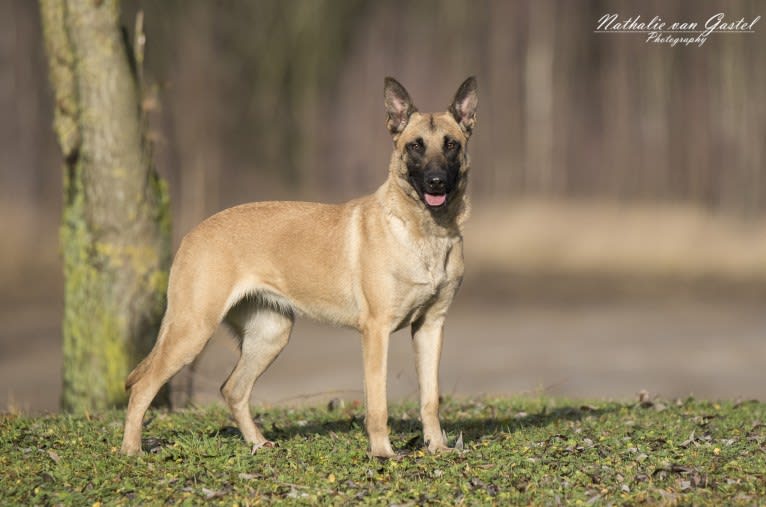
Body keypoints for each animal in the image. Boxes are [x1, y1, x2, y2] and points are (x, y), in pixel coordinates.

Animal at [121, 76, 476, 460]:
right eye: (415, 146)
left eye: (451, 144)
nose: (436, 182)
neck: (425, 231)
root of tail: (192, 233)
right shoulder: (376, 331)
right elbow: (378, 403)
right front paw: (382, 452)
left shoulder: (430, 326)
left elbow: (430, 398)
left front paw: (437, 447)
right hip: (193, 330)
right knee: (143, 385)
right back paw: (131, 449)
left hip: (270, 334)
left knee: (233, 389)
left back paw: (258, 443)